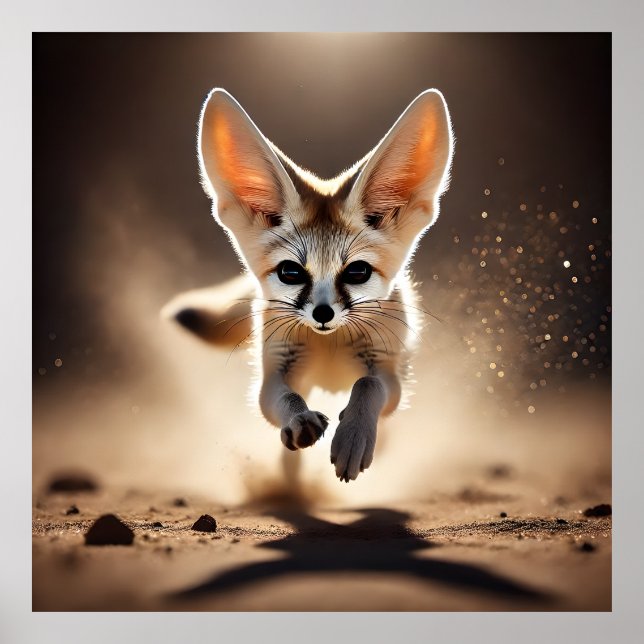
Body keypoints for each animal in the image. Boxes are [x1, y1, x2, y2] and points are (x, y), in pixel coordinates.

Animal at [164, 88, 454, 482]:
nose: (323, 313)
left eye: (357, 272)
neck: (328, 344)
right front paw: (300, 421)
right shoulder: (275, 371)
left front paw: (353, 437)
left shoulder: (388, 372)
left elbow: (367, 385)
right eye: (291, 272)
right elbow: (284, 399)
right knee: (289, 457)